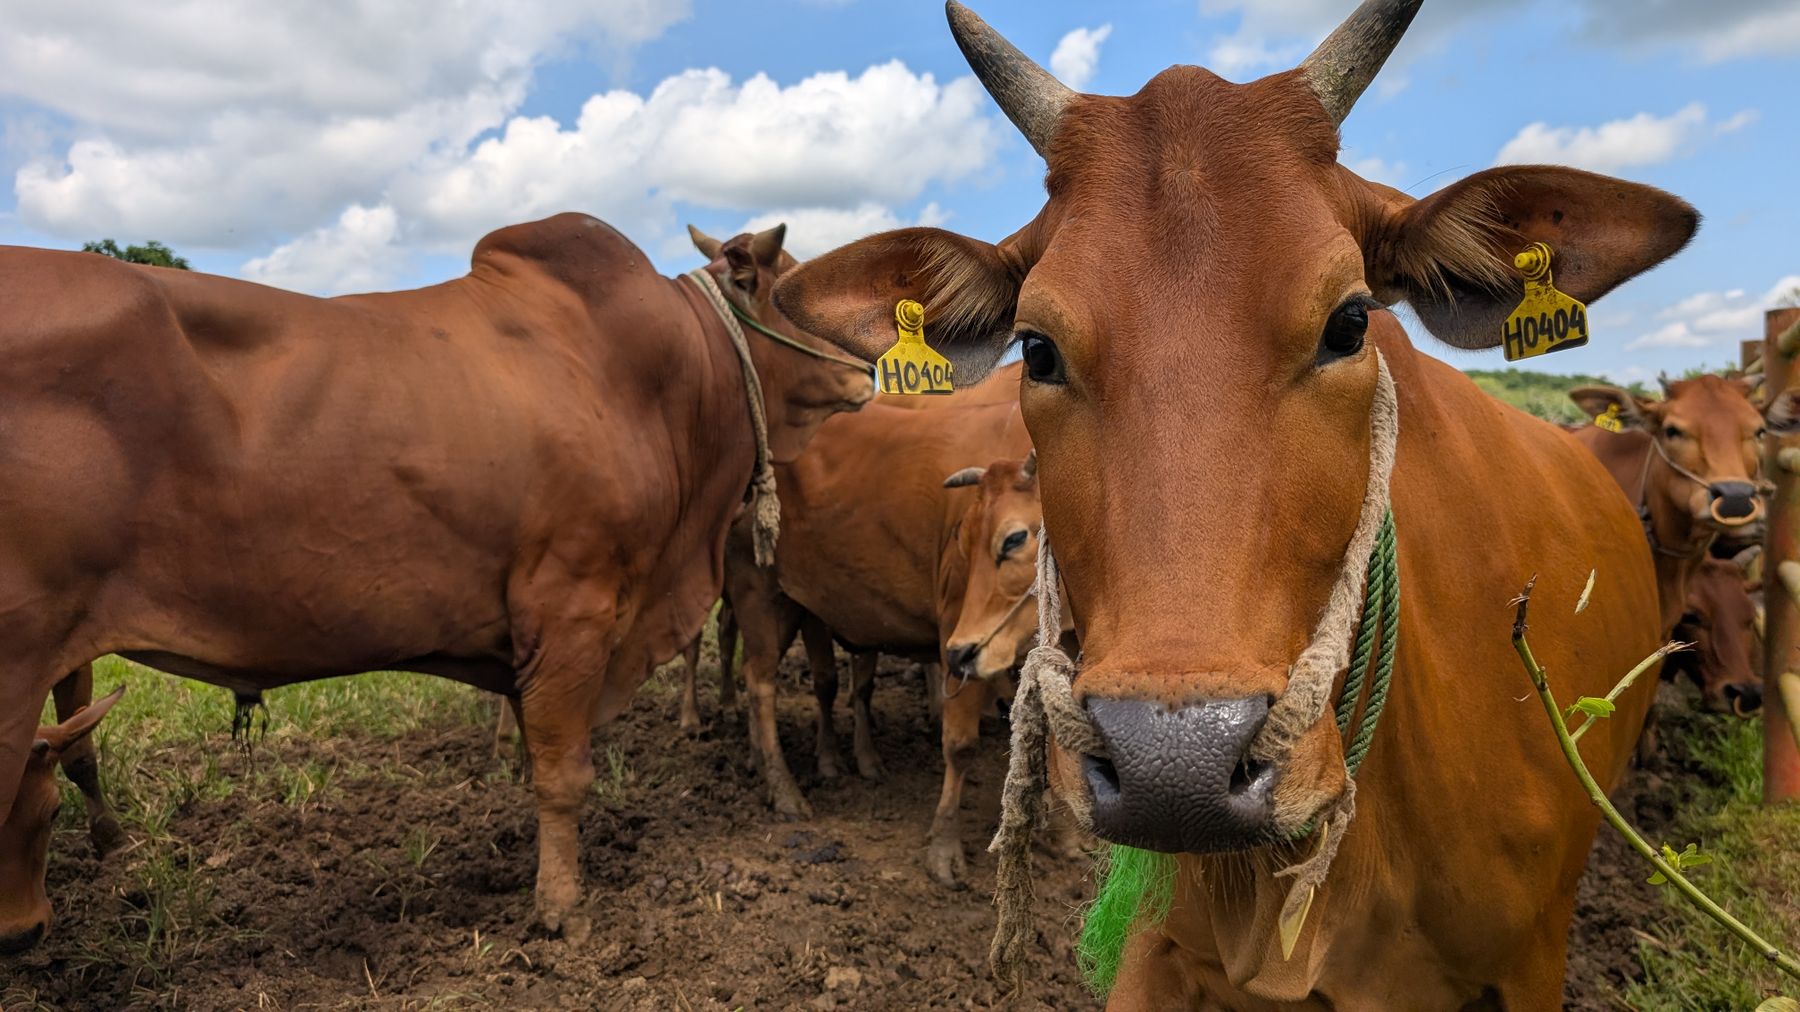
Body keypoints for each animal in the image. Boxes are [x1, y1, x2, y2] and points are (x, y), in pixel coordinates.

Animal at [0, 214, 873, 952]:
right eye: (793, 286)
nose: (871, 369)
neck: (659, 378)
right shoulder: (572, 608)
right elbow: (564, 776)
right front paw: (562, 911)